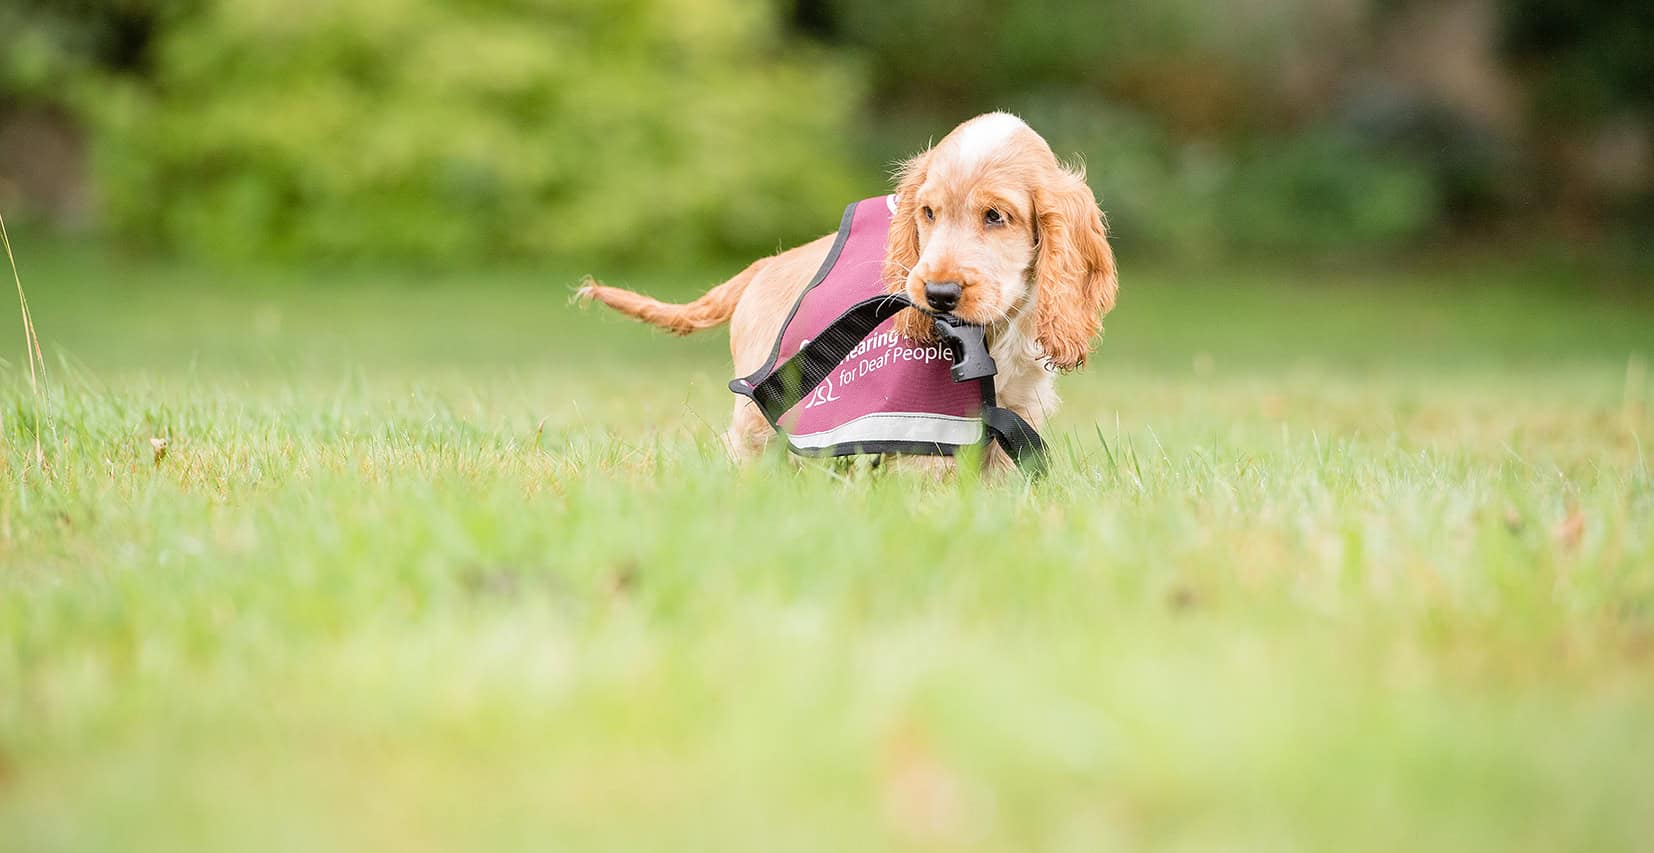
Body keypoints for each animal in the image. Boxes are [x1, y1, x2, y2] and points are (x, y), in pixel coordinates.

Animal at [575, 112, 1118, 466]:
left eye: (995, 216)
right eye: (928, 212)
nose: (938, 294)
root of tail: (764, 266)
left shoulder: (1015, 410)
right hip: (758, 417)